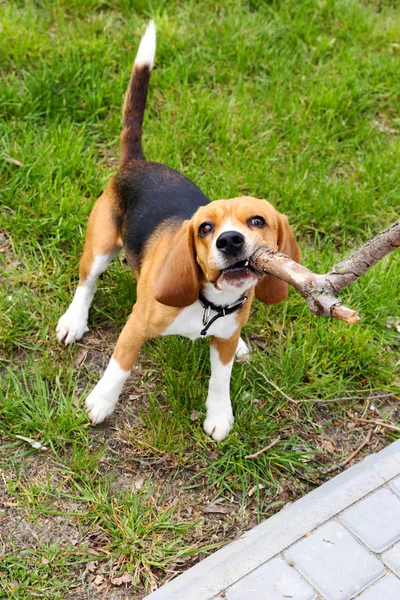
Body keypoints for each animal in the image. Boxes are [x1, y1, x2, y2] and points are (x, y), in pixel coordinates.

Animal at [57, 21, 300, 440]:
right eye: (205, 228)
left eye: (257, 221)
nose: (230, 241)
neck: (210, 305)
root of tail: (136, 162)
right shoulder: (135, 326)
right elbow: (119, 365)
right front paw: (100, 402)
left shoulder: (223, 339)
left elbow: (220, 378)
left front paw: (219, 415)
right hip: (100, 246)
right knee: (86, 285)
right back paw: (75, 321)